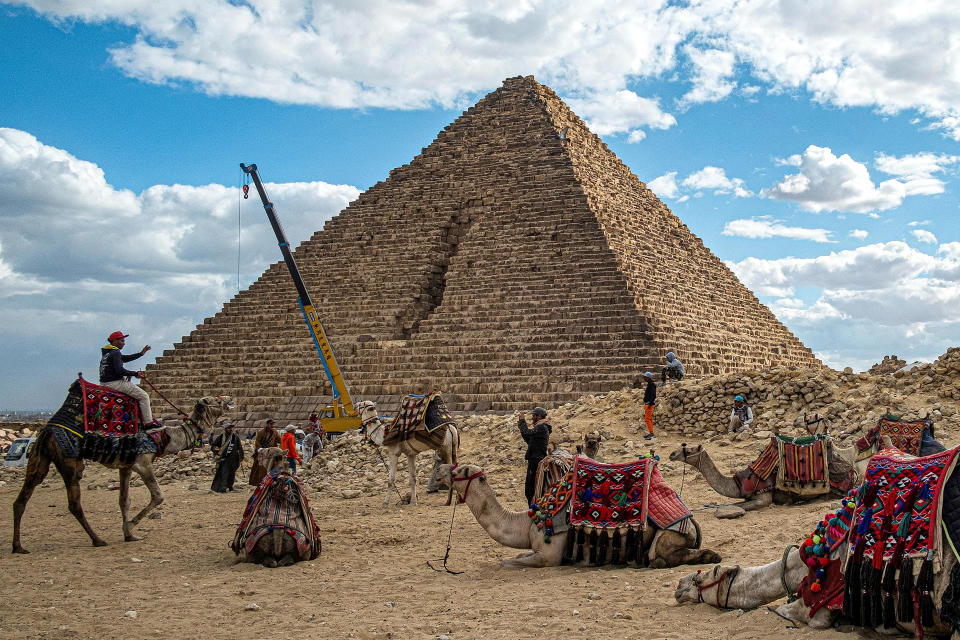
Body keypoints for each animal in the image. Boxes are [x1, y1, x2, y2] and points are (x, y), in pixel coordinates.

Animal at [11, 384, 232, 556]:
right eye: (213, 400)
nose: (229, 399)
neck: (167, 436)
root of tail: (47, 429)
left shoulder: (126, 466)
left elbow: (124, 500)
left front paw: (129, 534)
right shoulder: (142, 462)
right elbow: (158, 496)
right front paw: (132, 525)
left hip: (40, 459)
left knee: (21, 500)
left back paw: (18, 546)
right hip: (70, 461)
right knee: (74, 504)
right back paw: (97, 539)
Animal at [436, 460, 720, 568]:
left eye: (460, 470)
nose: (440, 471)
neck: (528, 521)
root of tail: (691, 519)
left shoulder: (549, 556)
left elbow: (510, 562)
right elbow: (517, 556)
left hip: (669, 533)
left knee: (660, 556)